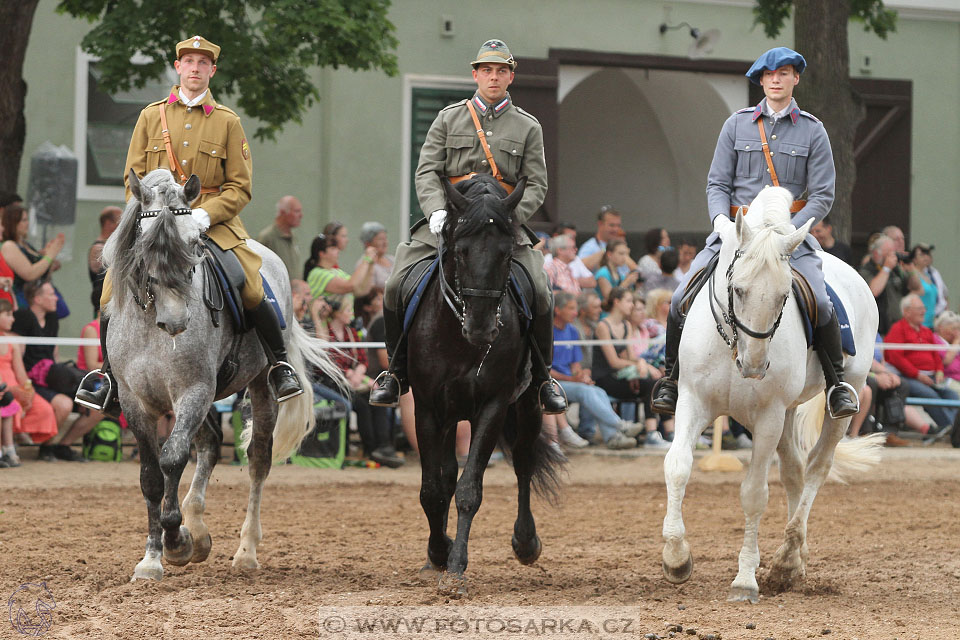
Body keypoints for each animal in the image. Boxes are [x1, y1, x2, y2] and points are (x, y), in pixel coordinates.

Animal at [101, 169, 340, 580]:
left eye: (195, 242)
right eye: (145, 246)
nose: (176, 321)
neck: (151, 327)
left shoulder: (193, 390)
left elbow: (172, 459)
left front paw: (176, 542)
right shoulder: (136, 402)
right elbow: (151, 475)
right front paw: (152, 558)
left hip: (260, 386)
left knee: (258, 459)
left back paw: (245, 552)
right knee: (211, 443)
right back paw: (198, 528)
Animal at [410, 172, 564, 596]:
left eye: (506, 253)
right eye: (460, 251)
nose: (481, 329)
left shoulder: (493, 407)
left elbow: (469, 490)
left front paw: (456, 565)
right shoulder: (428, 408)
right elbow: (433, 490)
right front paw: (438, 553)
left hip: (527, 405)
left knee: (524, 462)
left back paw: (525, 542)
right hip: (450, 416)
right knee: (445, 476)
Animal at [664, 186, 880, 604]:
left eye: (784, 296)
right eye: (737, 289)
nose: (753, 365)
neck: (732, 343)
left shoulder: (767, 417)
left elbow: (754, 493)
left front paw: (745, 580)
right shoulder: (692, 401)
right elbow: (678, 466)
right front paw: (676, 559)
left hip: (842, 397)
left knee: (816, 467)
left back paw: (786, 559)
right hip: (788, 412)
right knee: (794, 471)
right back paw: (794, 560)